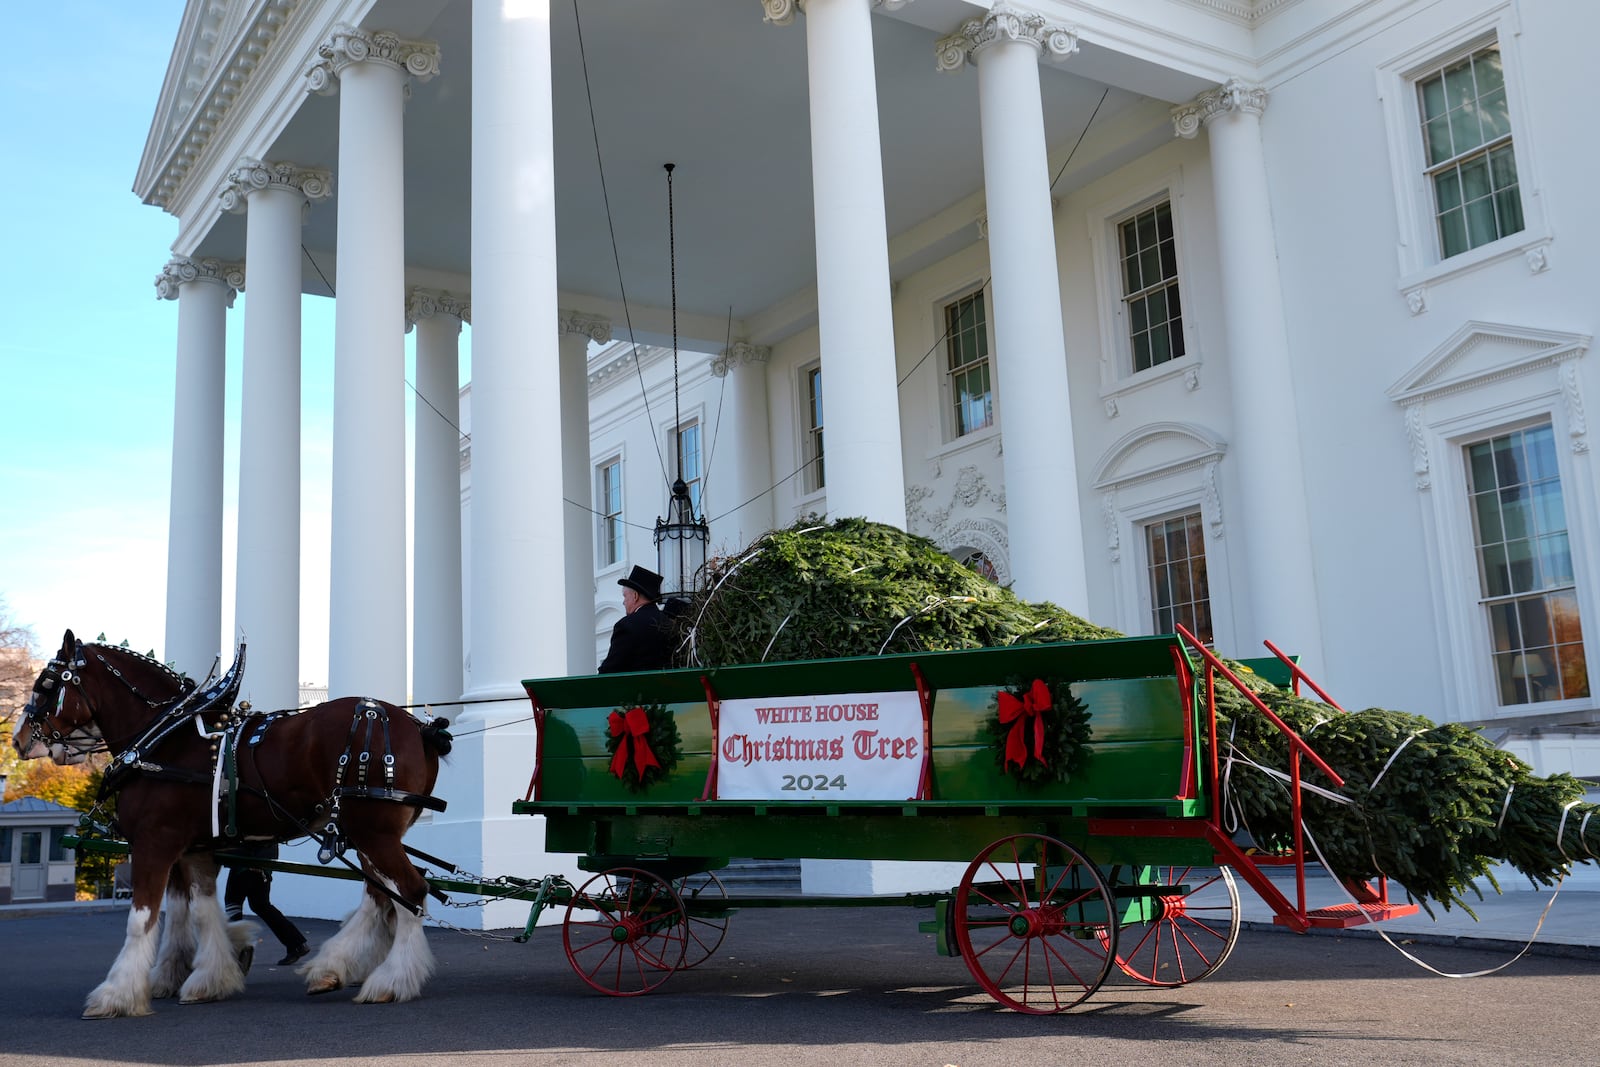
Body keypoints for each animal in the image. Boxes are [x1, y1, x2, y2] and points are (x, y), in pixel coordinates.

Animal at [12, 630, 454, 1023]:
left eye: (46, 683)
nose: (18, 739)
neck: (166, 739)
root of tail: (418, 726)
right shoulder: (196, 850)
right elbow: (202, 911)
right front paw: (208, 978)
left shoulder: (154, 843)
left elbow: (142, 919)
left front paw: (116, 994)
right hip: (368, 834)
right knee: (382, 896)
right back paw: (332, 967)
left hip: (372, 832)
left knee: (410, 891)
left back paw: (391, 980)